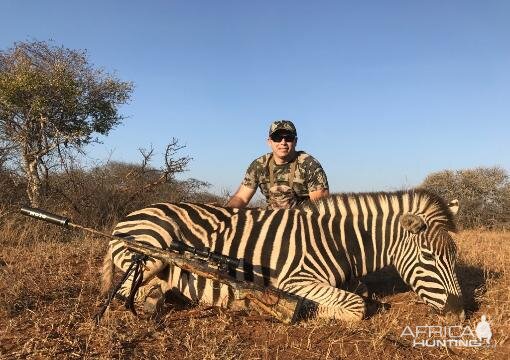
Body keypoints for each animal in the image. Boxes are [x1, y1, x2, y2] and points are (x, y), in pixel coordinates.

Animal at [101, 190, 464, 322]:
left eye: (453, 255)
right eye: (429, 257)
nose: (461, 311)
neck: (340, 241)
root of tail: (128, 218)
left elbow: (362, 293)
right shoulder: (296, 280)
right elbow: (357, 306)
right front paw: (307, 311)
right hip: (153, 255)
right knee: (124, 291)